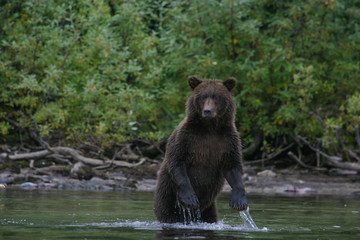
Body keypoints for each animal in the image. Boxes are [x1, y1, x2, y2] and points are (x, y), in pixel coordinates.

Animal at [155, 76, 248, 223]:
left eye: (217, 97)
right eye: (203, 97)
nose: (207, 111)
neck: (210, 128)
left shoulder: (229, 141)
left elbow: (233, 167)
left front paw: (239, 202)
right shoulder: (185, 138)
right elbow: (177, 162)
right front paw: (190, 199)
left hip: (210, 207)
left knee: (211, 216)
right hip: (166, 198)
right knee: (167, 214)